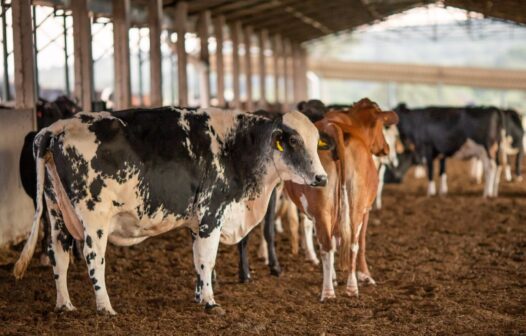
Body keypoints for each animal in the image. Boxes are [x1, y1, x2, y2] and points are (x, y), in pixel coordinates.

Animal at [14, 107, 328, 316]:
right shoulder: (212, 214)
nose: (322, 178)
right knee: (93, 257)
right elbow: (207, 260)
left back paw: (65, 305)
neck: (237, 148)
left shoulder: (196, 221)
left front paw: (200, 296)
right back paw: (105, 307)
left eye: (316, 142)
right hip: (94, 217)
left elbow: (197, 259)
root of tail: (54, 129)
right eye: (294, 141)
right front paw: (211, 302)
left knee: (59, 254)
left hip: (56, 211)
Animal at [286, 98, 398, 300]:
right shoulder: (366, 210)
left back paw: (339, 289)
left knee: (333, 244)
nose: (386, 148)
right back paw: (338, 289)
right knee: (347, 243)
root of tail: (333, 128)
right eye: (380, 126)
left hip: (325, 209)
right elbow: (360, 242)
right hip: (352, 207)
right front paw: (365, 275)